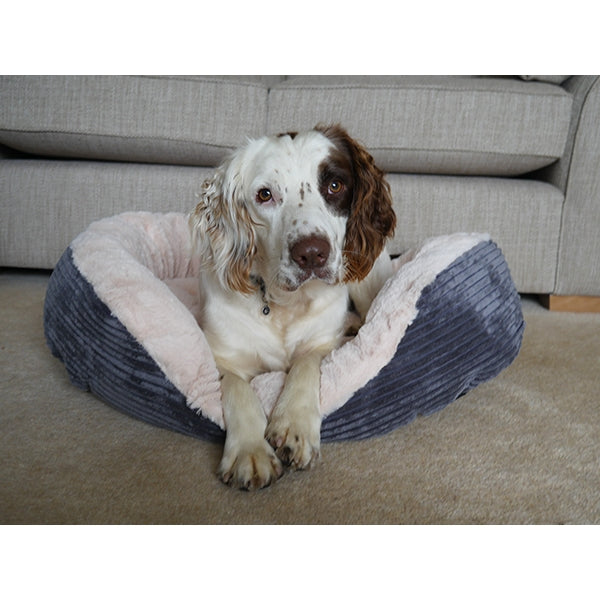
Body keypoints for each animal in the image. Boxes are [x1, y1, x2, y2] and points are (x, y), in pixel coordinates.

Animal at [188, 124, 394, 490]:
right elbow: (237, 387)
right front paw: (250, 450)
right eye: (265, 195)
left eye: (335, 185)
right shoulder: (223, 357)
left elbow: (305, 364)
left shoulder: (322, 343)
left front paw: (293, 424)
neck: (284, 303)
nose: (312, 254)